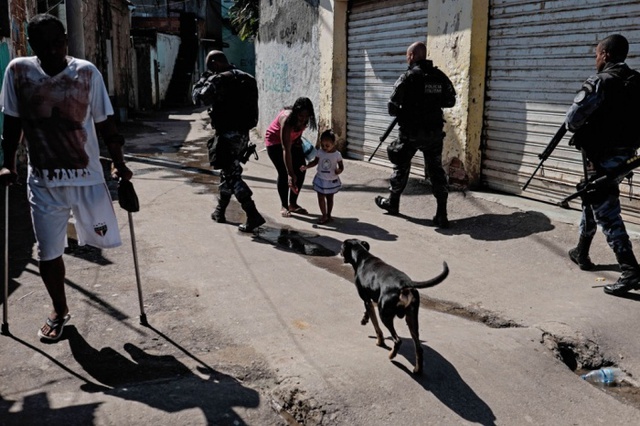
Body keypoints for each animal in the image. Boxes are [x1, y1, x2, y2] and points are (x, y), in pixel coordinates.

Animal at [342, 238, 448, 374]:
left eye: (342, 247)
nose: (340, 252)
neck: (362, 256)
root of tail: (405, 283)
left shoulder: (367, 300)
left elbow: (376, 326)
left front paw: (380, 341)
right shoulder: (374, 299)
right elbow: (371, 311)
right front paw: (365, 318)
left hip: (385, 315)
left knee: (397, 340)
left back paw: (392, 355)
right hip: (412, 319)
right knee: (419, 348)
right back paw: (417, 369)